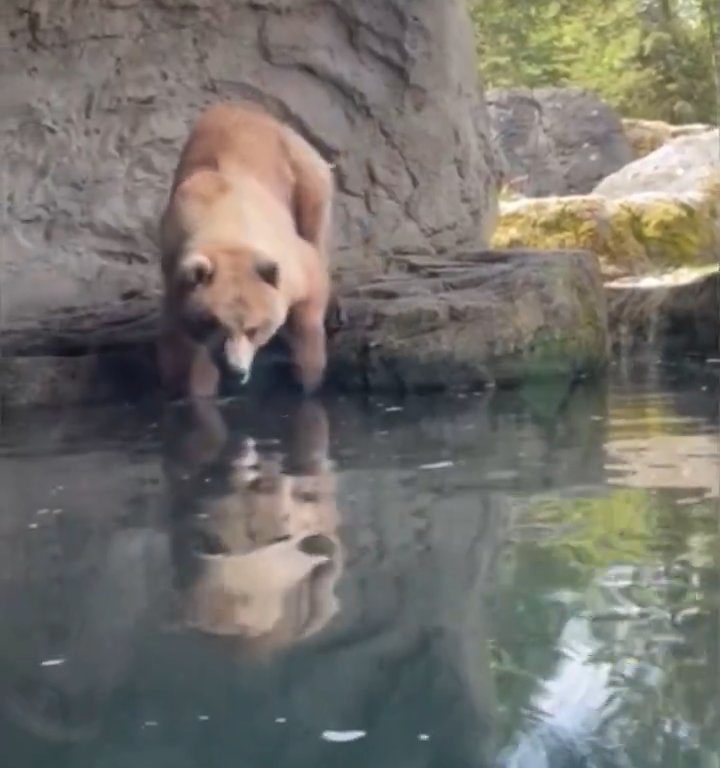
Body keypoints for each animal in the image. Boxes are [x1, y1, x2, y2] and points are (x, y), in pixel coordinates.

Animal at [159, 100, 334, 396]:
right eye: (215, 323)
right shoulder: (175, 266)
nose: (236, 370)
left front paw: (307, 378)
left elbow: (310, 295)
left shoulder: (290, 259)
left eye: (254, 329)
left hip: (302, 166)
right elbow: (184, 342)